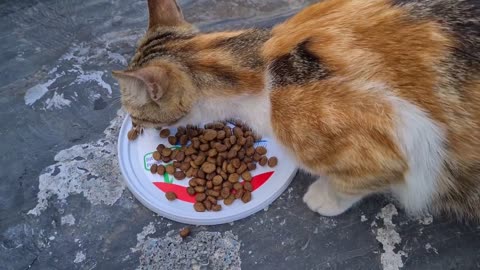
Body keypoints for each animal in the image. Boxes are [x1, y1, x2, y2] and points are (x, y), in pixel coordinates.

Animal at [113, 0, 480, 219]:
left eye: (136, 113)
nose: (136, 126)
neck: (259, 67)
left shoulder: (395, 147)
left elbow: (349, 184)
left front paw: (323, 199)